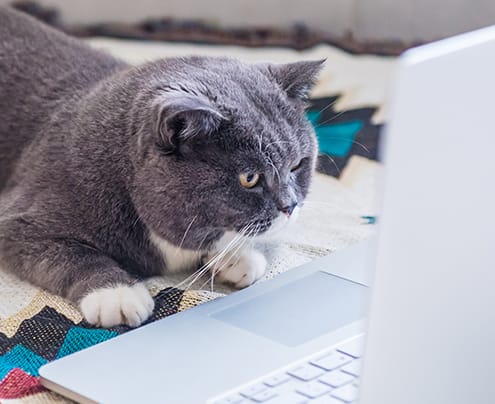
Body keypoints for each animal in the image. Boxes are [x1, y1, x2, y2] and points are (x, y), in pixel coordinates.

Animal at [0, 6, 324, 328]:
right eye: (249, 178)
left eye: (297, 165)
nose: (290, 206)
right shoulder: (21, 217)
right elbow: (73, 254)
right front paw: (116, 294)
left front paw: (239, 256)